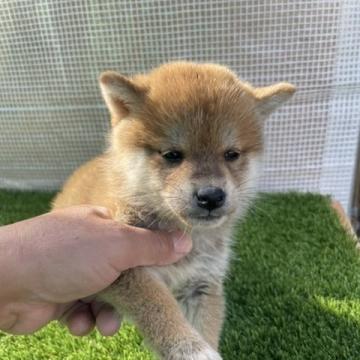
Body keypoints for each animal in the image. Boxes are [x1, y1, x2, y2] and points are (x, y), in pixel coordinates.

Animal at [53, 60, 296, 358]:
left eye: (232, 154)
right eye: (172, 155)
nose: (211, 196)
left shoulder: (202, 282)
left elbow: (206, 325)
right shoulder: (125, 267)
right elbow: (159, 306)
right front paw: (191, 349)